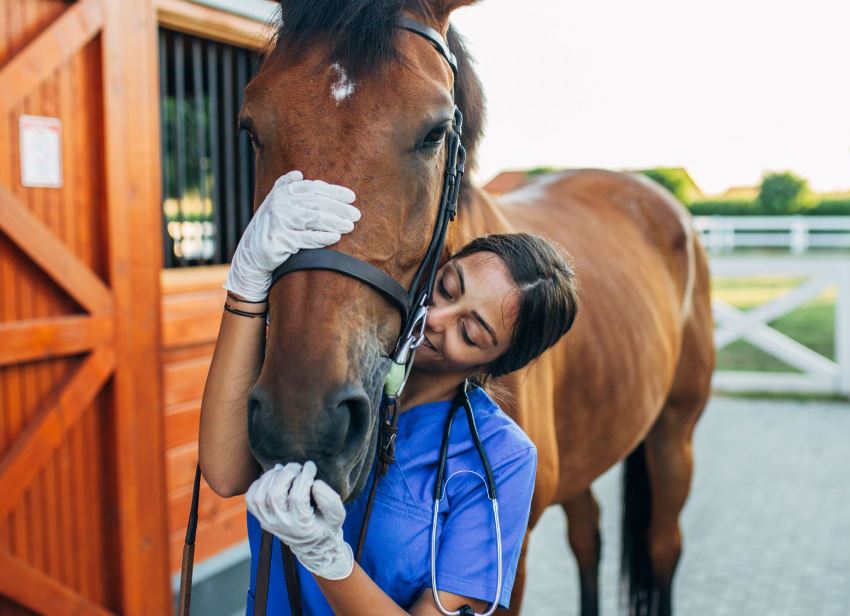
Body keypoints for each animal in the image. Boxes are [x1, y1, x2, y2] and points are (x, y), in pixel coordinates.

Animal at [240, 2, 716, 612]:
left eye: (435, 133)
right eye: (251, 126)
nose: (304, 423)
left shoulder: (513, 562)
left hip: (674, 435)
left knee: (662, 546)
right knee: (588, 534)